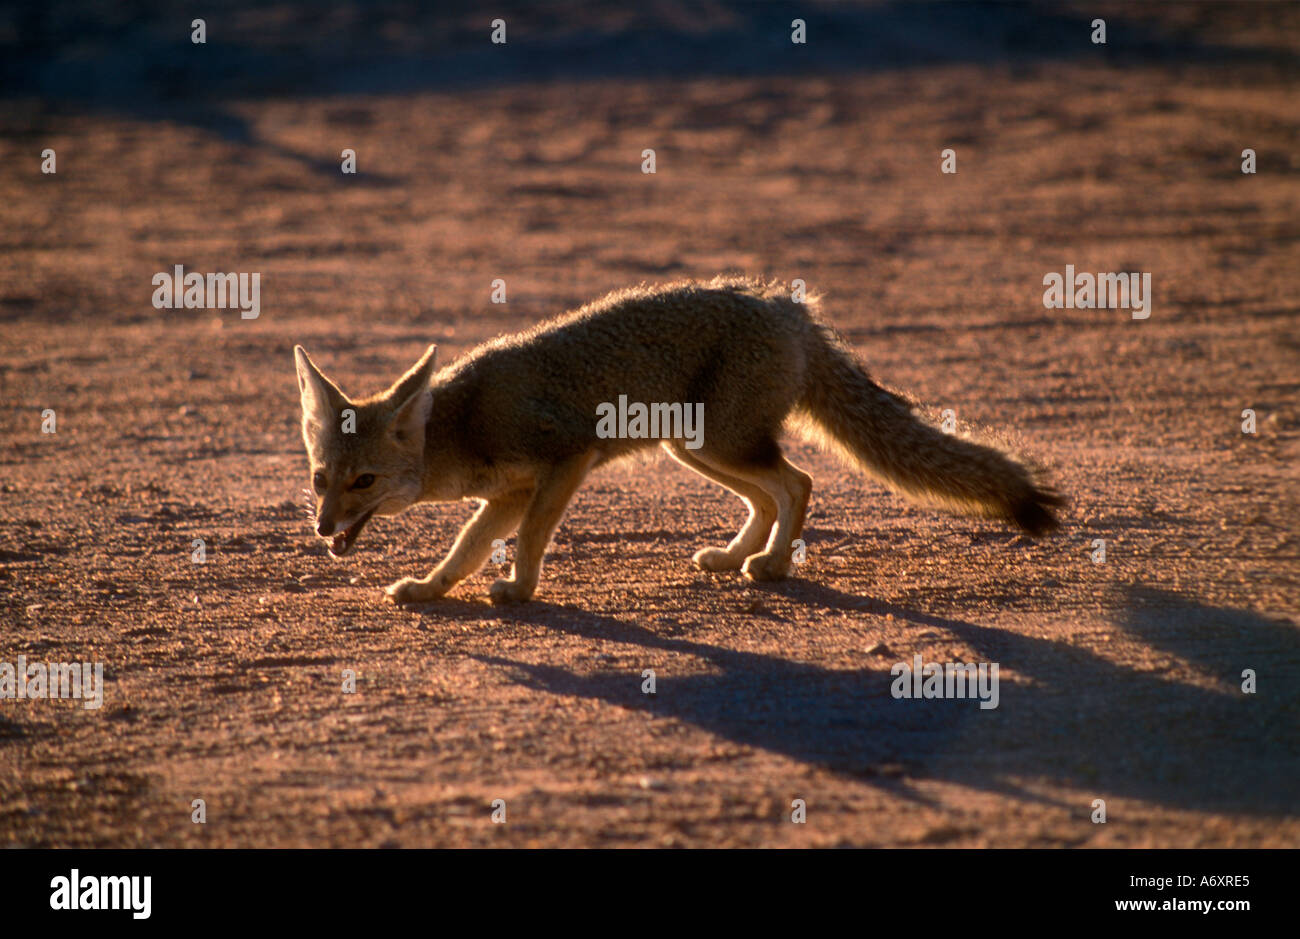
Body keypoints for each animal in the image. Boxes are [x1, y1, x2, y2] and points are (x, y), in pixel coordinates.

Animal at [297, 274, 1066, 603]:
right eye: (319, 479)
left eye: (363, 481)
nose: (322, 527)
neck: (459, 421)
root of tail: (788, 307)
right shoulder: (513, 489)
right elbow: (468, 543)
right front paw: (431, 588)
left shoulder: (563, 460)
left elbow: (530, 537)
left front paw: (519, 589)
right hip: (694, 448)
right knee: (771, 494)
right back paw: (735, 556)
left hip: (717, 445)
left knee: (798, 482)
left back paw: (772, 565)